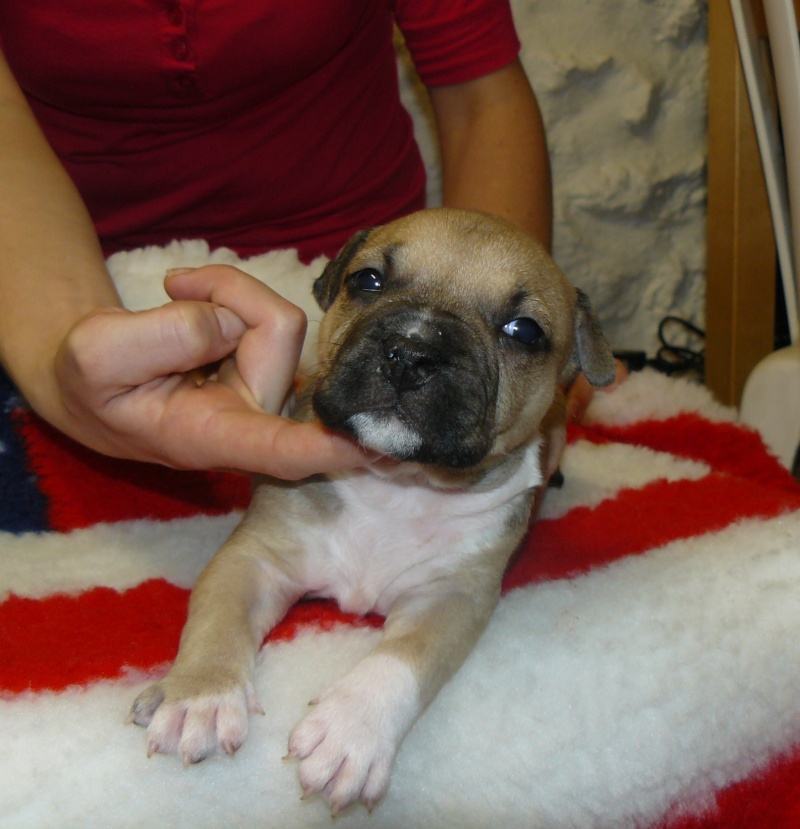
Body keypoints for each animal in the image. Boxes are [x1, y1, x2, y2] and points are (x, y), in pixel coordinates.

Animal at [130, 207, 612, 816]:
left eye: (524, 332)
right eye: (368, 280)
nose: (412, 351)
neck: (399, 480)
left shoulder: (451, 597)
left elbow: (401, 659)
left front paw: (350, 733)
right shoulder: (254, 558)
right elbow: (219, 620)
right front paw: (201, 696)